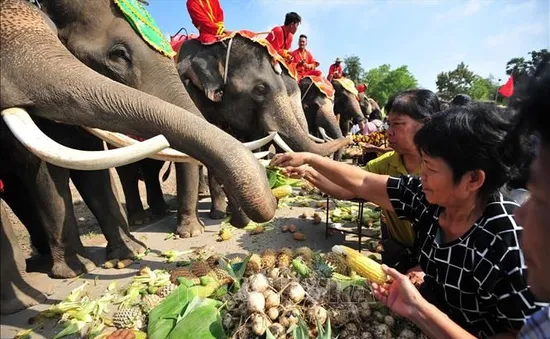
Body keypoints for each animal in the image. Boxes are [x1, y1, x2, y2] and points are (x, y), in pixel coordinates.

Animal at [0, 0, 276, 314]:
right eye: (117, 55)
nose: (240, 220)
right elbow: (45, 168)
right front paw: (69, 276)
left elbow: (90, 168)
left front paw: (128, 255)